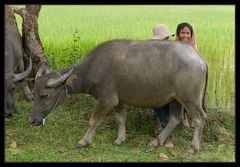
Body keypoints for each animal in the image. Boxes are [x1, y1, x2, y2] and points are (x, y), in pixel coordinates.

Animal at [29, 39, 208, 154]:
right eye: (34, 93)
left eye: (44, 94)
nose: (32, 120)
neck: (93, 68)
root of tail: (199, 57)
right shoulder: (118, 101)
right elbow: (121, 119)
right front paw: (120, 139)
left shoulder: (106, 100)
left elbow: (94, 121)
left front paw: (83, 141)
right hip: (176, 99)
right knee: (174, 119)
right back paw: (156, 141)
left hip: (190, 99)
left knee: (200, 119)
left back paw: (193, 148)